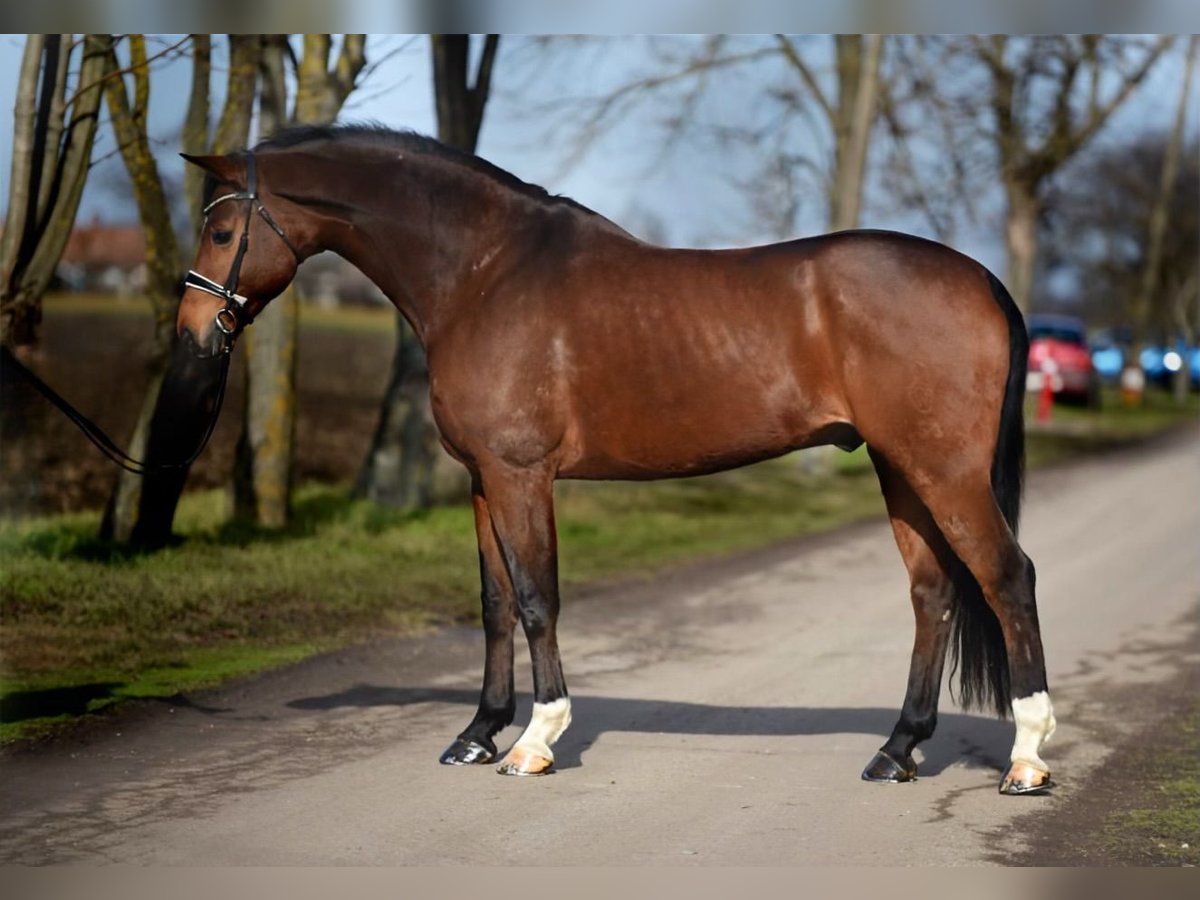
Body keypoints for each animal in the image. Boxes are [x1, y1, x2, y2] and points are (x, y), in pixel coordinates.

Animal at [175, 127, 1051, 796]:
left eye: (220, 232)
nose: (189, 333)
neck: (485, 273)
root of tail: (979, 278)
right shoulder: (483, 482)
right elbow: (495, 603)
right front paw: (477, 734)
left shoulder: (522, 475)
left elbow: (537, 600)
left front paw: (534, 741)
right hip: (902, 470)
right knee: (933, 593)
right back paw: (897, 750)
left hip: (945, 473)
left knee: (1008, 578)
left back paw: (1026, 760)